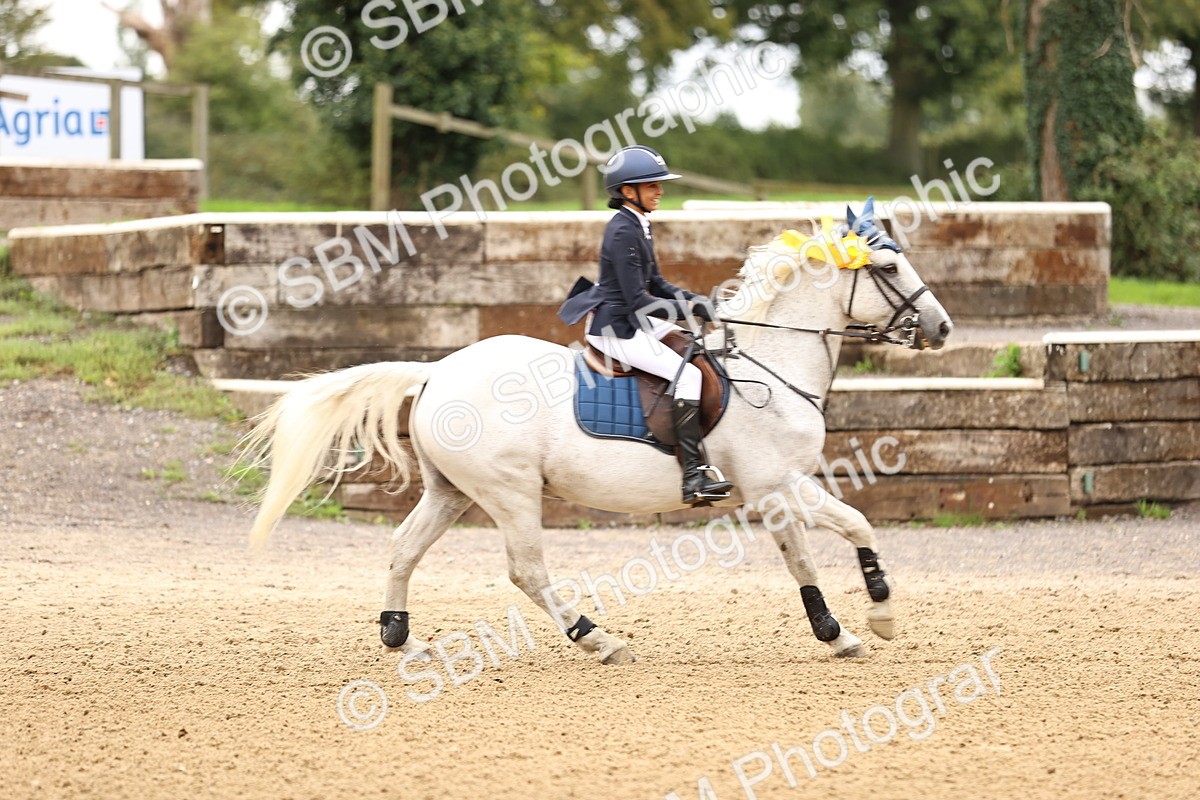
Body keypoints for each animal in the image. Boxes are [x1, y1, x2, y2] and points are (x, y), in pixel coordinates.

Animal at [243, 200, 954, 663]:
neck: (770, 365)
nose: (942, 328)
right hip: (509, 492)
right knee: (526, 570)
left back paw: (400, 635)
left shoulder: (788, 484)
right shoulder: (774, 487)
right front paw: (851, 626)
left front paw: (873, 617)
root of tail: (438, 369)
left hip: (452, 491)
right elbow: (810, 551)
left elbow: (855, 524)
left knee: (402, 547)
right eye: (889, 269)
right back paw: (598, 638)